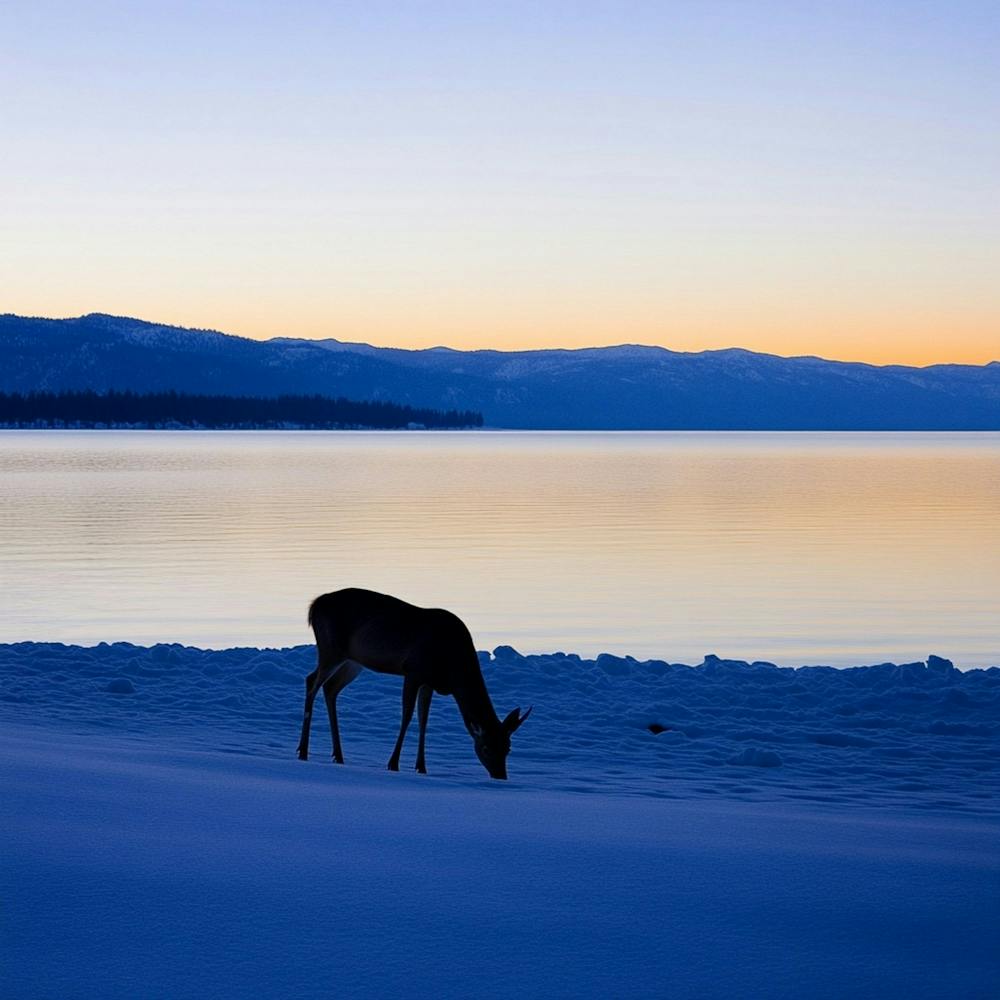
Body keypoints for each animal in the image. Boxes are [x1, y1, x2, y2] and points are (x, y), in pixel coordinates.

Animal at [297, 588, 531, 779]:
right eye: (485, 748)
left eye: (508, 748)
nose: (501, 775)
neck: (452, 670)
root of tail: (315, 605)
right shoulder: (413, 671)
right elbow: (407, 716)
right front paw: (393, 763)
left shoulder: (429, 682)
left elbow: (424, 720)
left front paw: (421, 766)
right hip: (330, 648)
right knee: (311, 681)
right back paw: (303, 750)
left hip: (353, 661)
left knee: (330, 688)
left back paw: (338, 754)